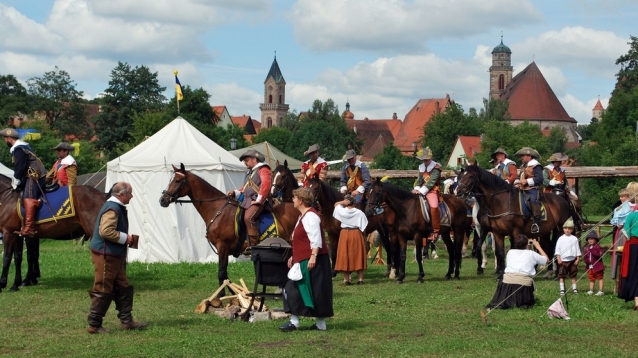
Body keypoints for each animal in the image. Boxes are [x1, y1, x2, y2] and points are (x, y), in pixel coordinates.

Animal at [159, 164, 302, 296]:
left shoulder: (223, 246)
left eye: (177, 180)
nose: (162, 200)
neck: (217, 209)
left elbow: (221, 273)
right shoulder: (222, 249)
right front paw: (235, 294)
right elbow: (225, 275)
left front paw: (221, 296)